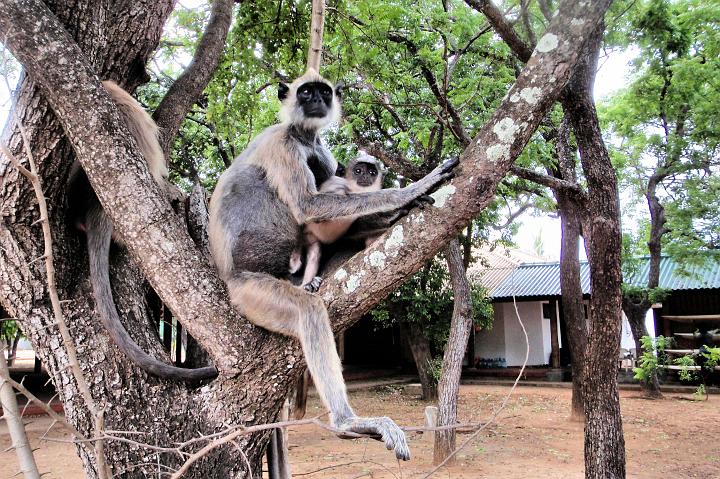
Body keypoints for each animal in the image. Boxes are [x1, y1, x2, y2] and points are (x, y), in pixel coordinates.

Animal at [208, 68, 458, 462]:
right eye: (305, 92)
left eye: (323, 92)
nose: (316, 101)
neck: (304, 136)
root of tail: (228, 277)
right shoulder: (283, 144)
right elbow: (309, 204)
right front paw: (415, 188)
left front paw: (401, 209)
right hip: (250, 293)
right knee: (309, 309)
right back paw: (347, 422)